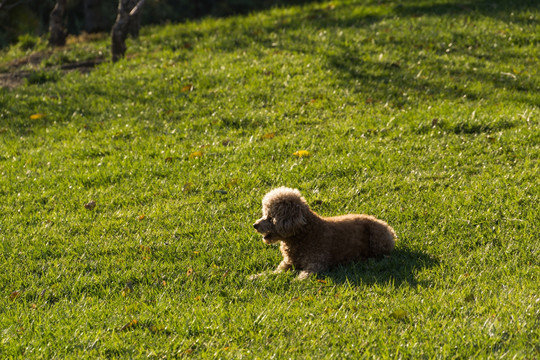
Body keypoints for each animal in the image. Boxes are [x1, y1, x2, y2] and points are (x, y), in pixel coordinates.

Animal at [253, 187, 396, 280]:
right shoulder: (286, 265)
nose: (255, 225)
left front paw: (294, 282)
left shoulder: (316, 265)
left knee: (384, 256)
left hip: (378, 238)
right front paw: (255, 277)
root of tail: (388, 227)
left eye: (270, 218)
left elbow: (303, 277)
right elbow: (270, 273)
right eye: (265, 214)